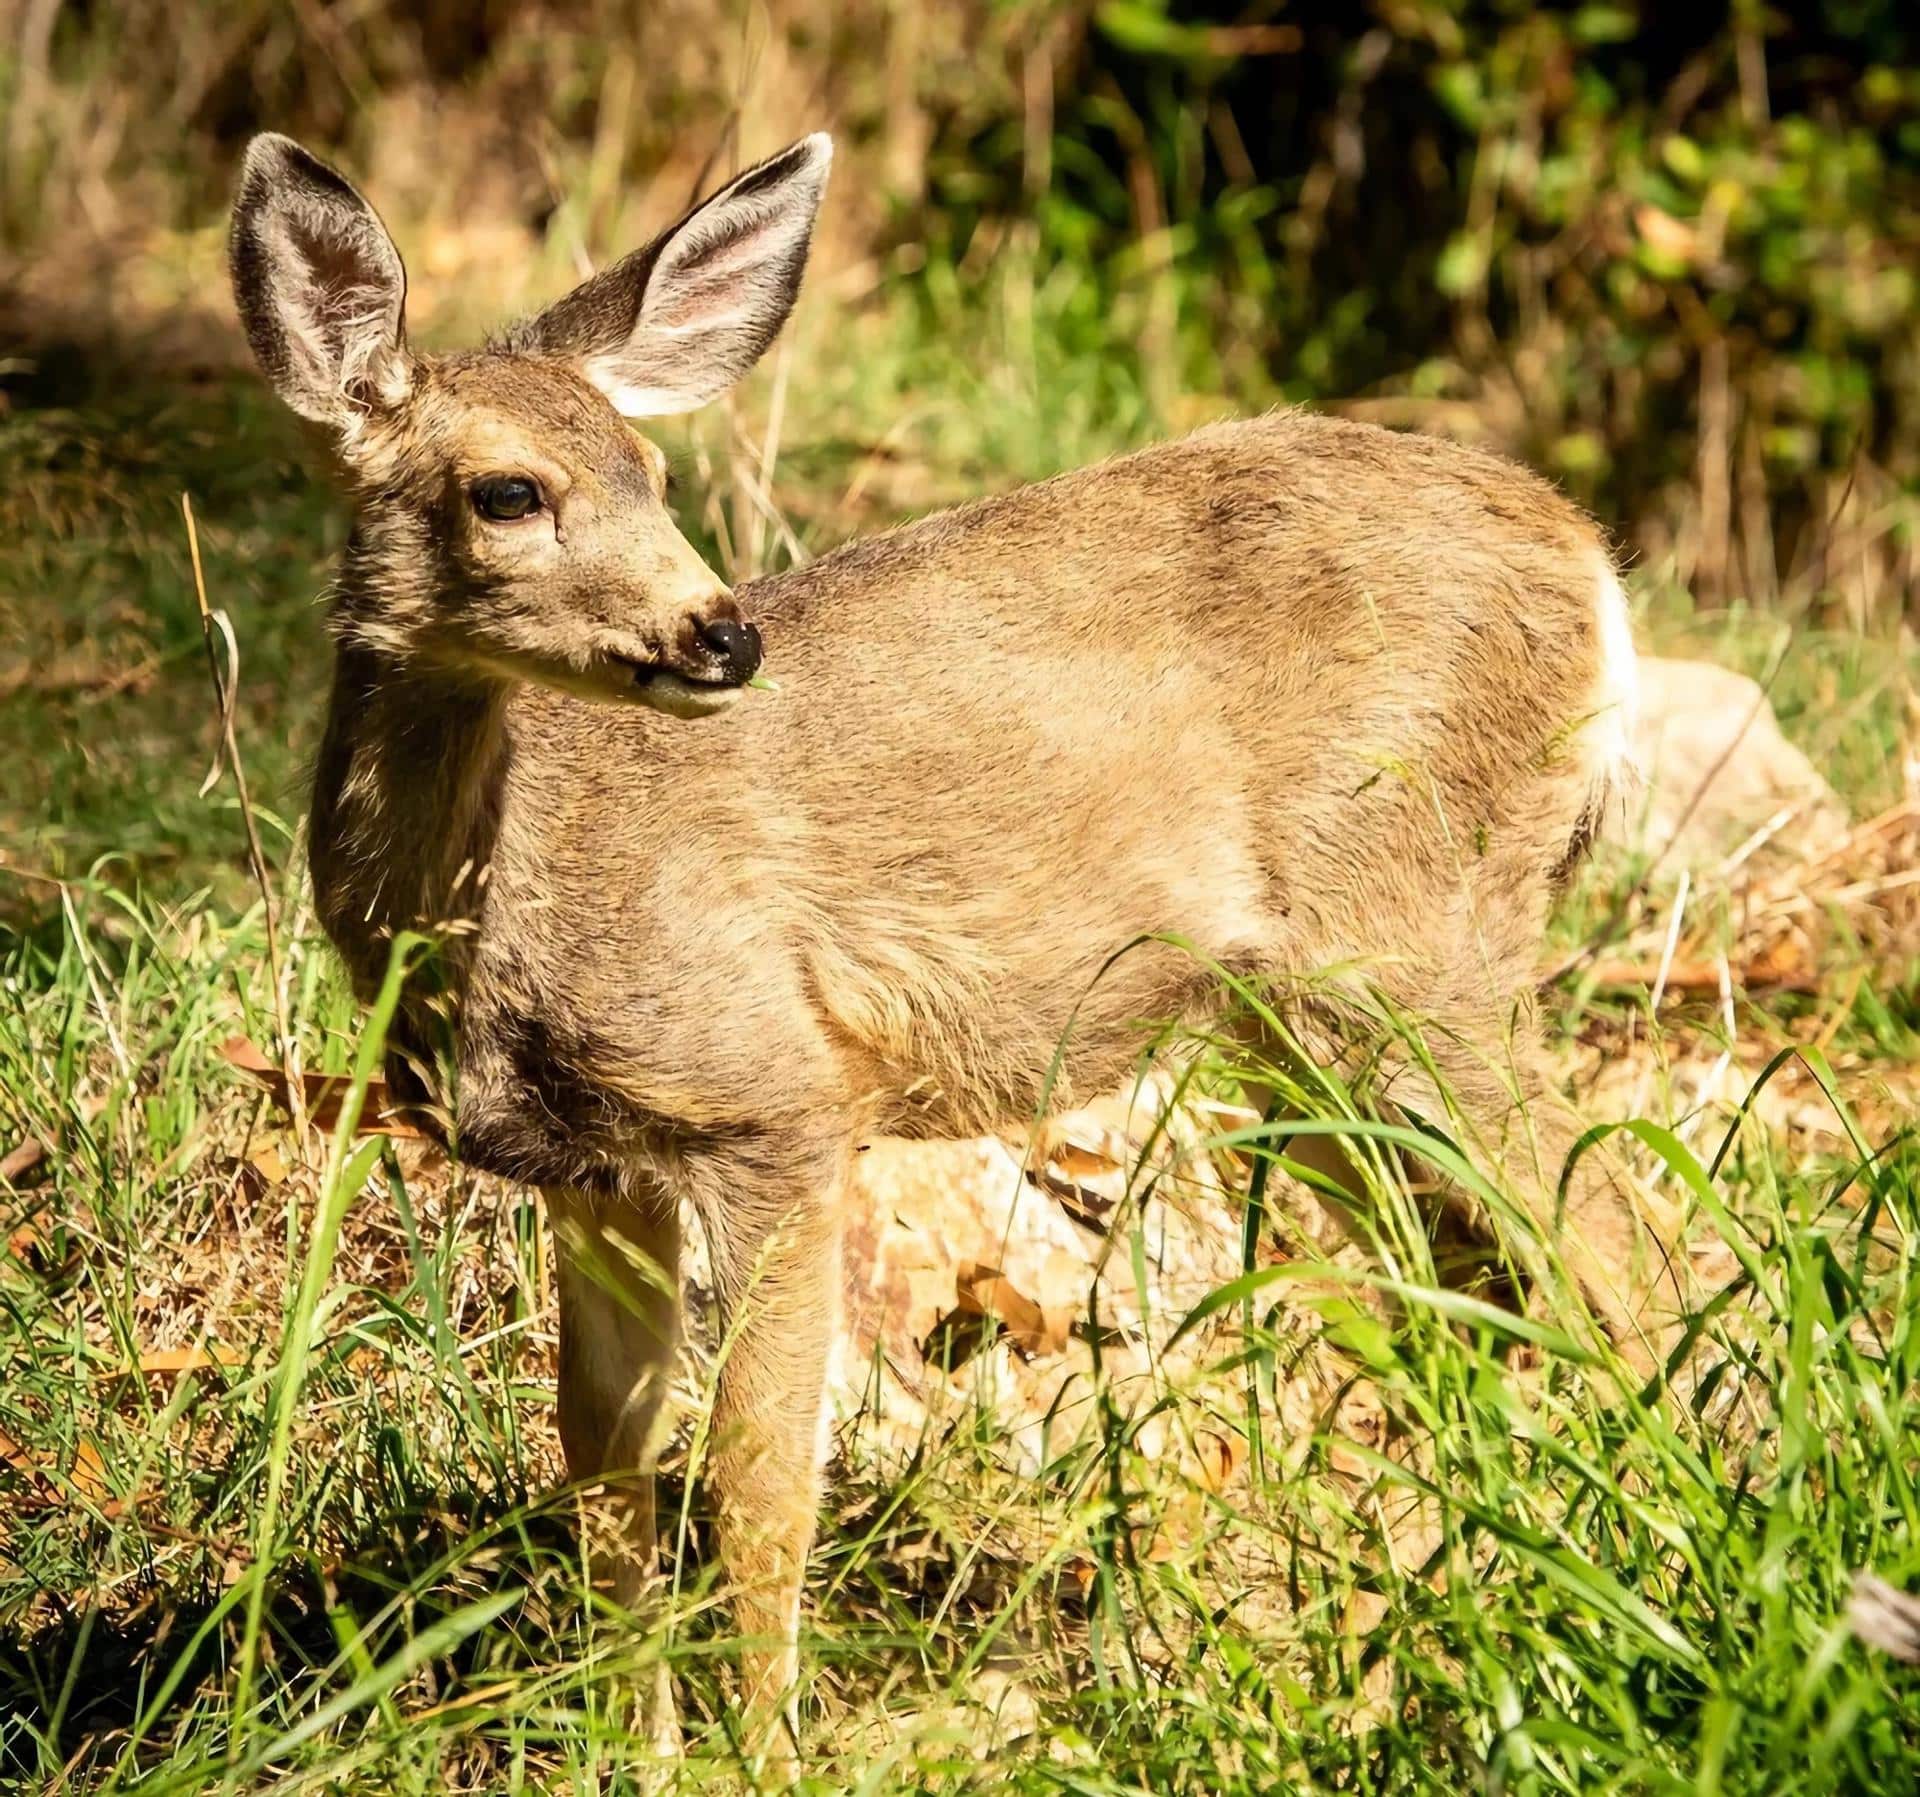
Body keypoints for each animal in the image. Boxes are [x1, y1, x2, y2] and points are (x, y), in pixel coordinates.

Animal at [230, 128, 1663, 1761]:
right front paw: (631, 1748)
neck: (502, 920)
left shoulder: (776, 1098)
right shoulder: (588, 1169)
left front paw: (770, 1752)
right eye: (509, 490)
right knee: (1468, 1271)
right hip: (1303, 1020)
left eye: (656, 472)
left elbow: (760, 1472)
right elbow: (603, 1457)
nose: (722, 633)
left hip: (1420, 932)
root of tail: (1597, 571)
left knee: (1616, 1240)